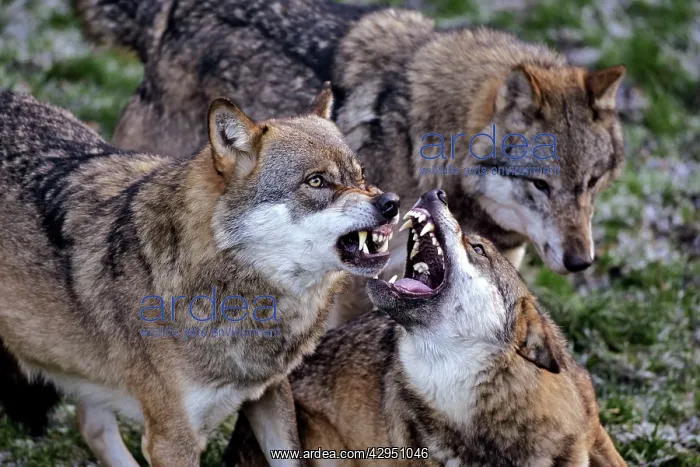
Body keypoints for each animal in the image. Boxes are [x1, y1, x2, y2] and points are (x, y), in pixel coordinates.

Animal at [0, 87, 399, 466]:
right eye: (316, 181)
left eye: (361, 176)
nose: (391, 203)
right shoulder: (172, 440)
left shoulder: (271, 392)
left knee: (90, 423)